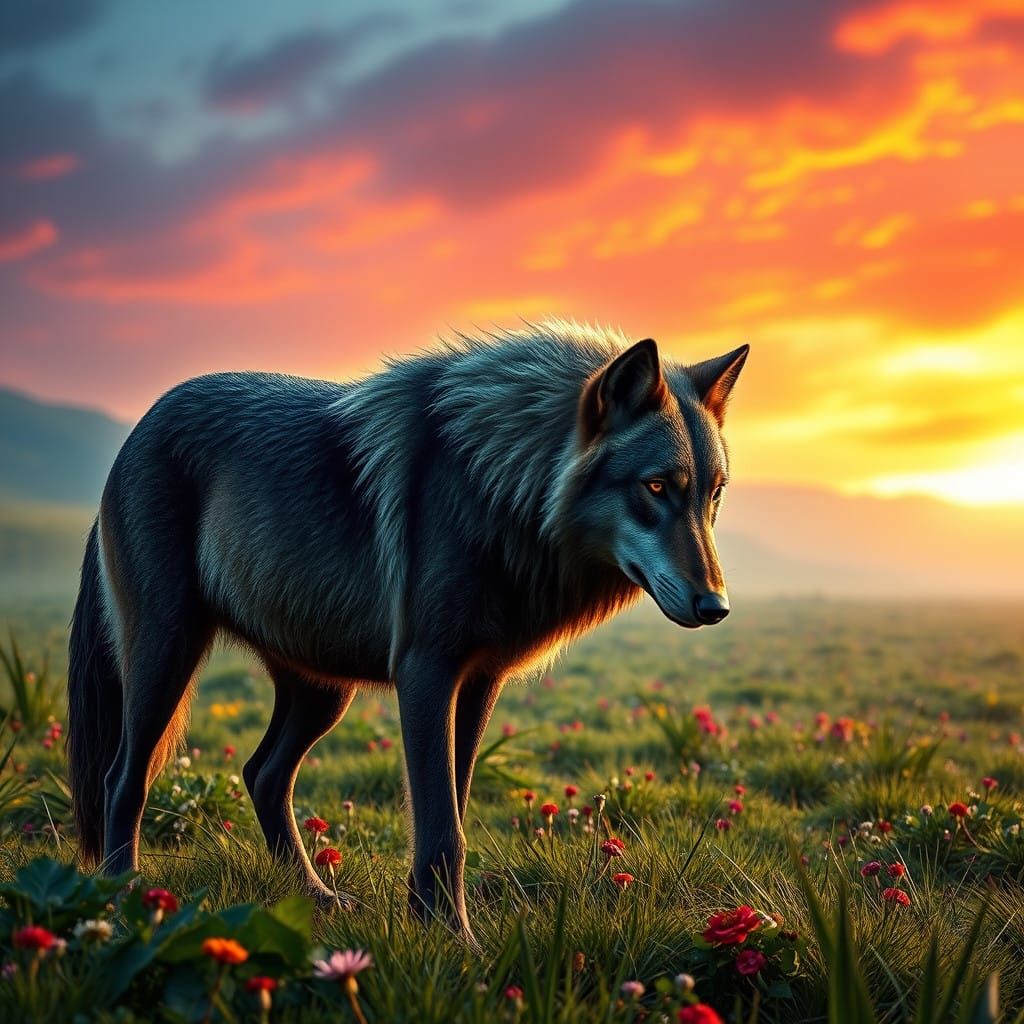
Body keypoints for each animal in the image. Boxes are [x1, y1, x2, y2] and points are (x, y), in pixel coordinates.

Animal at [66, 320, 747, 942]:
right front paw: (456, 942)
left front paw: (429, 923)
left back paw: (316, 897)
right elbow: (443, 829)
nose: (716, 605)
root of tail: (137, 431)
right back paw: (123, 897)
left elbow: (455, 811)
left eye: (713, 496)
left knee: (262, 774)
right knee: (121, 779)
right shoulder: (426, 673)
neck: (496, 485)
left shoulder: (479, 682)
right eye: (655, 487)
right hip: (167, 658)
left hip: (324, 693)